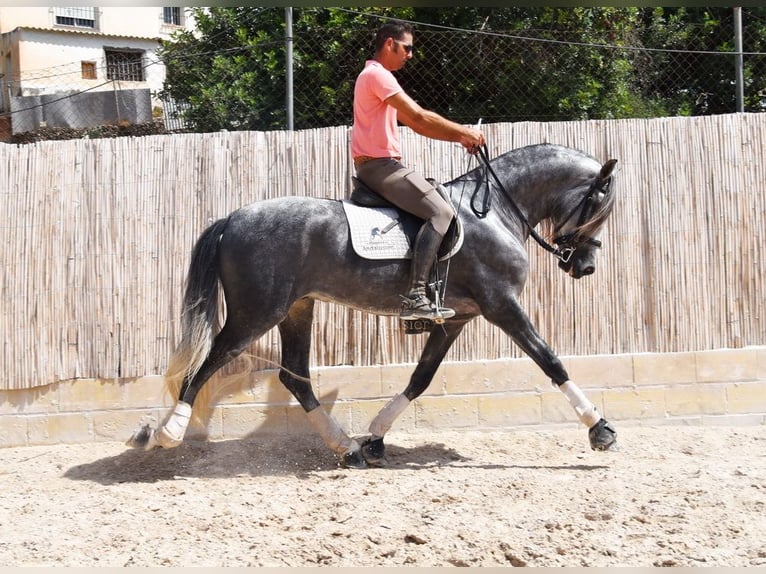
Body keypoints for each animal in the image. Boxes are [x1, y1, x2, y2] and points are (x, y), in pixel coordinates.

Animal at [126, 143, 616, 468]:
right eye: (598, 207)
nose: (586, 267)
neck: (493, 212)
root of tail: (232, 219)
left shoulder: (458, 318)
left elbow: (421, 378)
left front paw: (377, 438)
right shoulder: (502, 306)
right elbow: (551, 360)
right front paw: (600, 429)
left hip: (296, 309)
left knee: (294, 375)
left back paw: (348, 448)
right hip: (256, 313)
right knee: (207, 363)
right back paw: (166, 433)